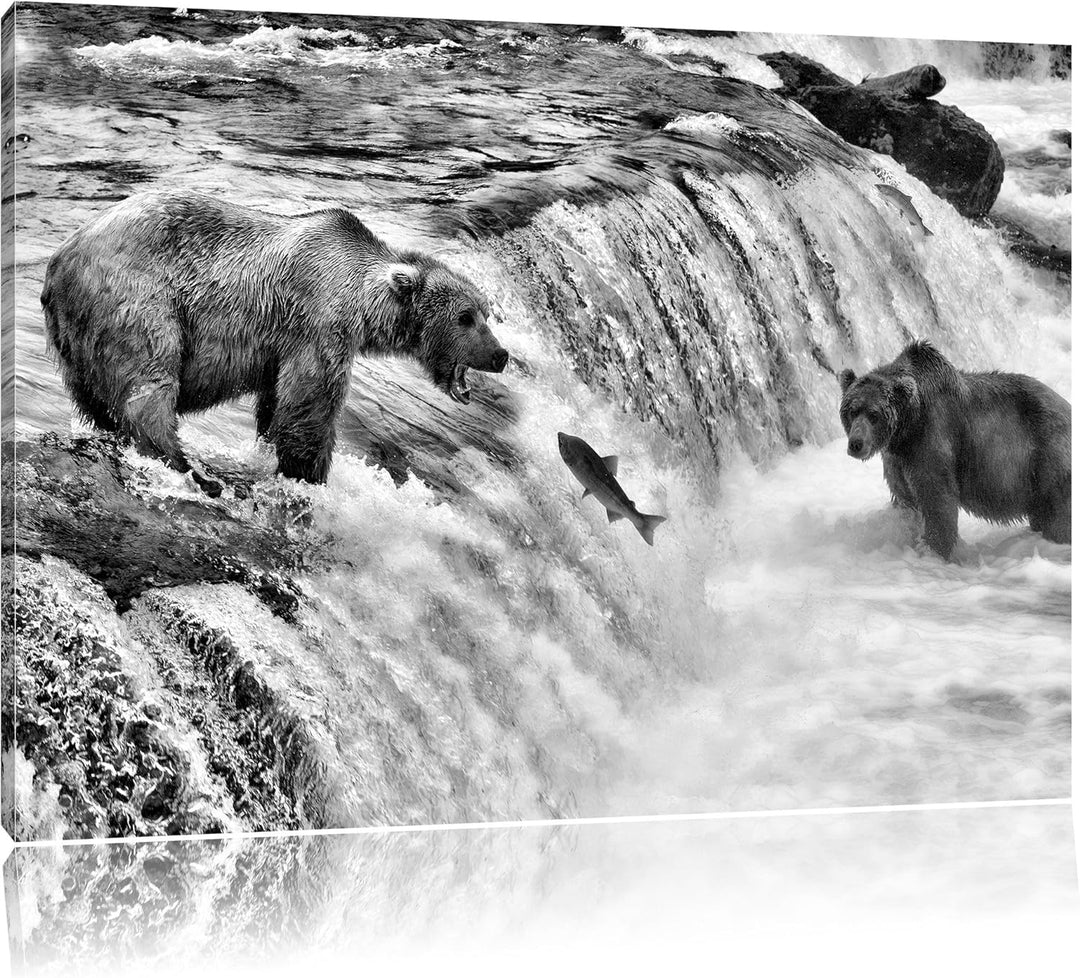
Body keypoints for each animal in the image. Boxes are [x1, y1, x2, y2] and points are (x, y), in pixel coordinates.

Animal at [41, 189, 509, 496]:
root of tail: (59, 258)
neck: (361, 300)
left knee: (94, 397)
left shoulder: (281, 347)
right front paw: (310, 475)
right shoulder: (318, 326)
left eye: (486, 312)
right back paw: (189, 468)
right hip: (139, 299)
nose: (501, 355)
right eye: (465, 317)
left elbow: (276, 403)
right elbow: (311, 406)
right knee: (149, 383)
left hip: (76, 337)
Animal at [839, 341, 1070, 560]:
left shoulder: (932, 440)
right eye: (852, 411)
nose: (856, 444)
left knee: (1058, 515)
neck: (906, 430)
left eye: (874, 414)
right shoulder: (897, 459)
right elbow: (905, 498)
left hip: (1047, 457)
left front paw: (933, 550)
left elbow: (938, 501)